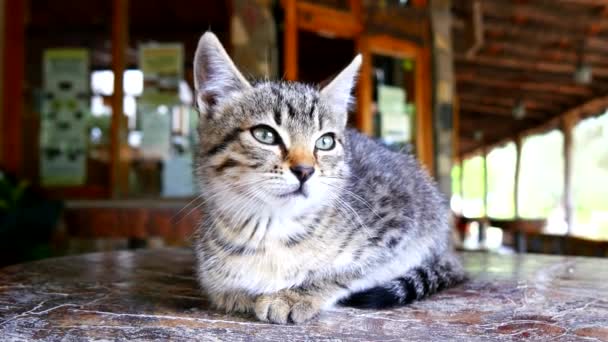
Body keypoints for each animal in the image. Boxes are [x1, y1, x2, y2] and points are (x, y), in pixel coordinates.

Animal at [192, 31, 464, 324]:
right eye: (265, 135)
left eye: (325, 142)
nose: (304, 170)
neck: (272, 228)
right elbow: (220, 286)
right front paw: (238, 293)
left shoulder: (398, 227)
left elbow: (350, 271)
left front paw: (295, 294)